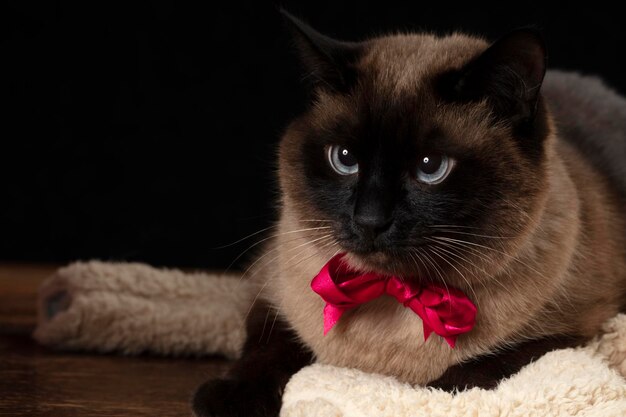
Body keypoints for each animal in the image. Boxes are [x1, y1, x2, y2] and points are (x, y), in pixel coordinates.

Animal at [190, 11, 624, 414]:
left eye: (431, 167)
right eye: (344, 158)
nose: (369, 220)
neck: (394, 298)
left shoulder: (574, 331)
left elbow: (478, 369)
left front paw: (428, 393)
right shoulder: (269, 289)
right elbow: (268, 344)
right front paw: (229, 399)